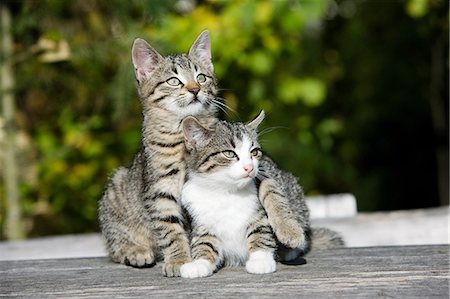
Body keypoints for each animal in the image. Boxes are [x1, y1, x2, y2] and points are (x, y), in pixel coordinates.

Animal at [179, 112, 278, 278]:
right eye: (229, 153)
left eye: (254, 152)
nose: (250, 167)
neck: (225, 191)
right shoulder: (201, 220)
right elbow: (204, 242)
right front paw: (199, 263)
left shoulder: (258, 213)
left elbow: (261, 231)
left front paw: (260, 260)